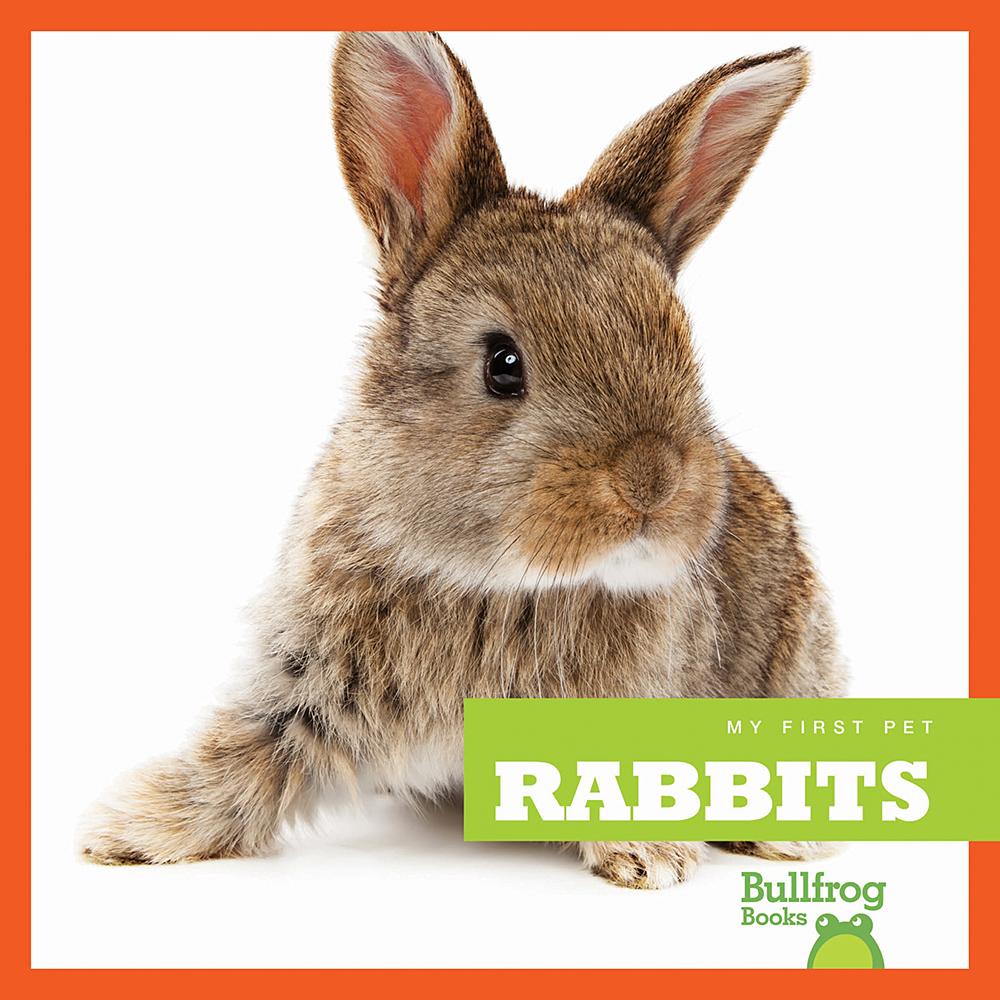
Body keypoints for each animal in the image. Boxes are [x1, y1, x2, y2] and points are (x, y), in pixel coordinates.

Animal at [80, 31, 845, 889]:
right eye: (503, 363)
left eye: (684, 348)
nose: (651, 481)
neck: (492, 581)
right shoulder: (304, 691)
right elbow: (242, 761)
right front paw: (130, 831)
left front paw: (648, 858)